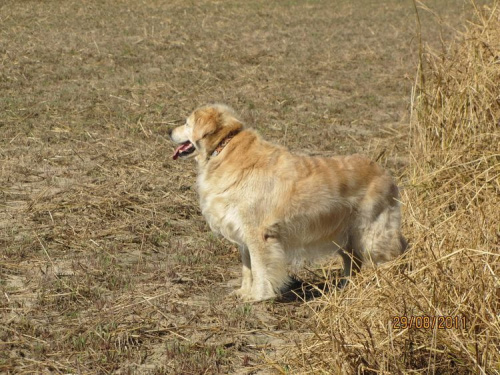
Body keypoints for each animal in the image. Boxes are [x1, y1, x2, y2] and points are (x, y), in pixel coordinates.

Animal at [168, 105, 406, 302]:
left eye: (187, 123)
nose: (168, 132)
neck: (224, 149)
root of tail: (386, 174)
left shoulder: (258, 234)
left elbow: (260, 268)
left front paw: (258, 296)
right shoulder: (241, 231)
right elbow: (247, 268)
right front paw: (244, 292)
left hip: (372, 234)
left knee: (392, 258)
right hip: (346, 237)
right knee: (353, 262)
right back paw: (346, 288)